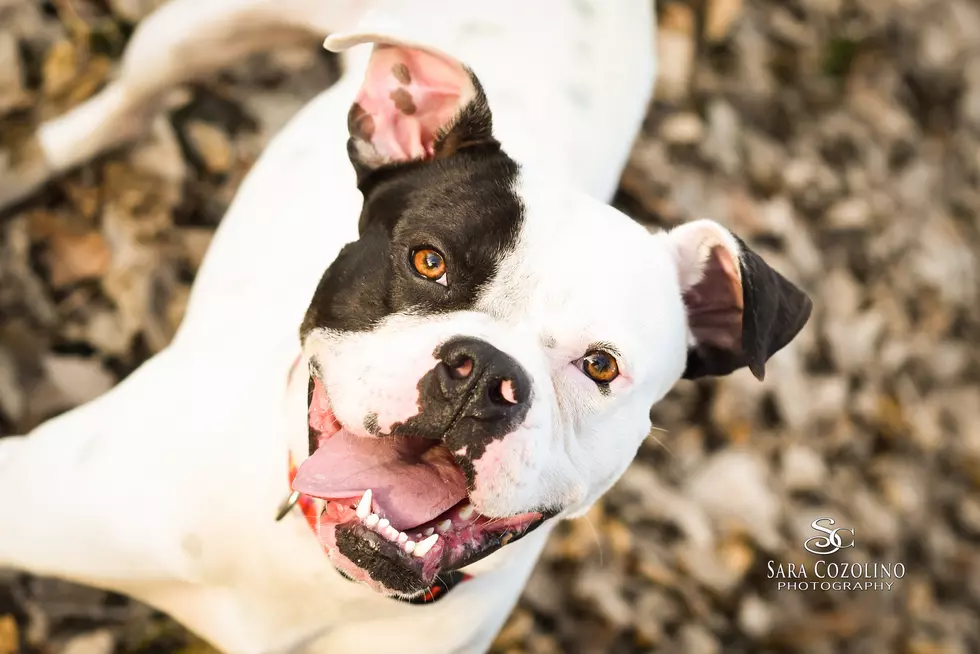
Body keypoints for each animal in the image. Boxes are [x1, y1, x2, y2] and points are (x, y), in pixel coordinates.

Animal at [0, 1, 812, 654]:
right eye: (429, 261)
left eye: (601, 366)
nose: (486, 375)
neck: (313, 569)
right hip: (191, 31)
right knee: (130, 98)